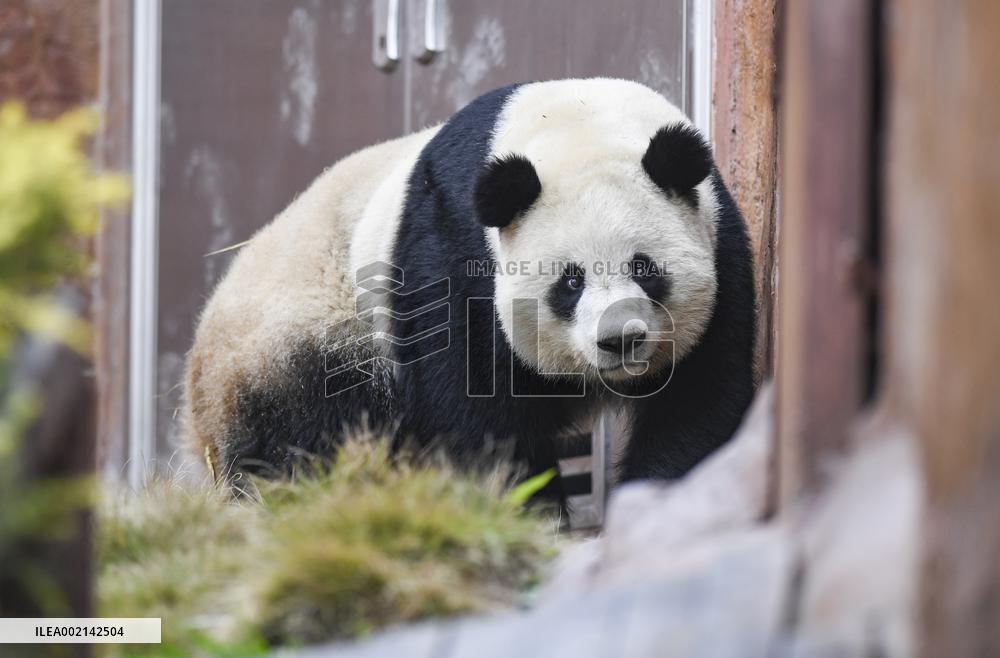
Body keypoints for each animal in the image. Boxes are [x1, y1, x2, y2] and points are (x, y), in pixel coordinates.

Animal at [182, 78, 756, 496]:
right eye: (570, 281)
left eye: (644, 268)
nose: (621, 340)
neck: (573, 123)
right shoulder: (453, 248)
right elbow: (474, 408)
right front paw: (524, 508)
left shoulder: (720, 240)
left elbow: (697, 396)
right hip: (304, 338)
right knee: (306, 436)